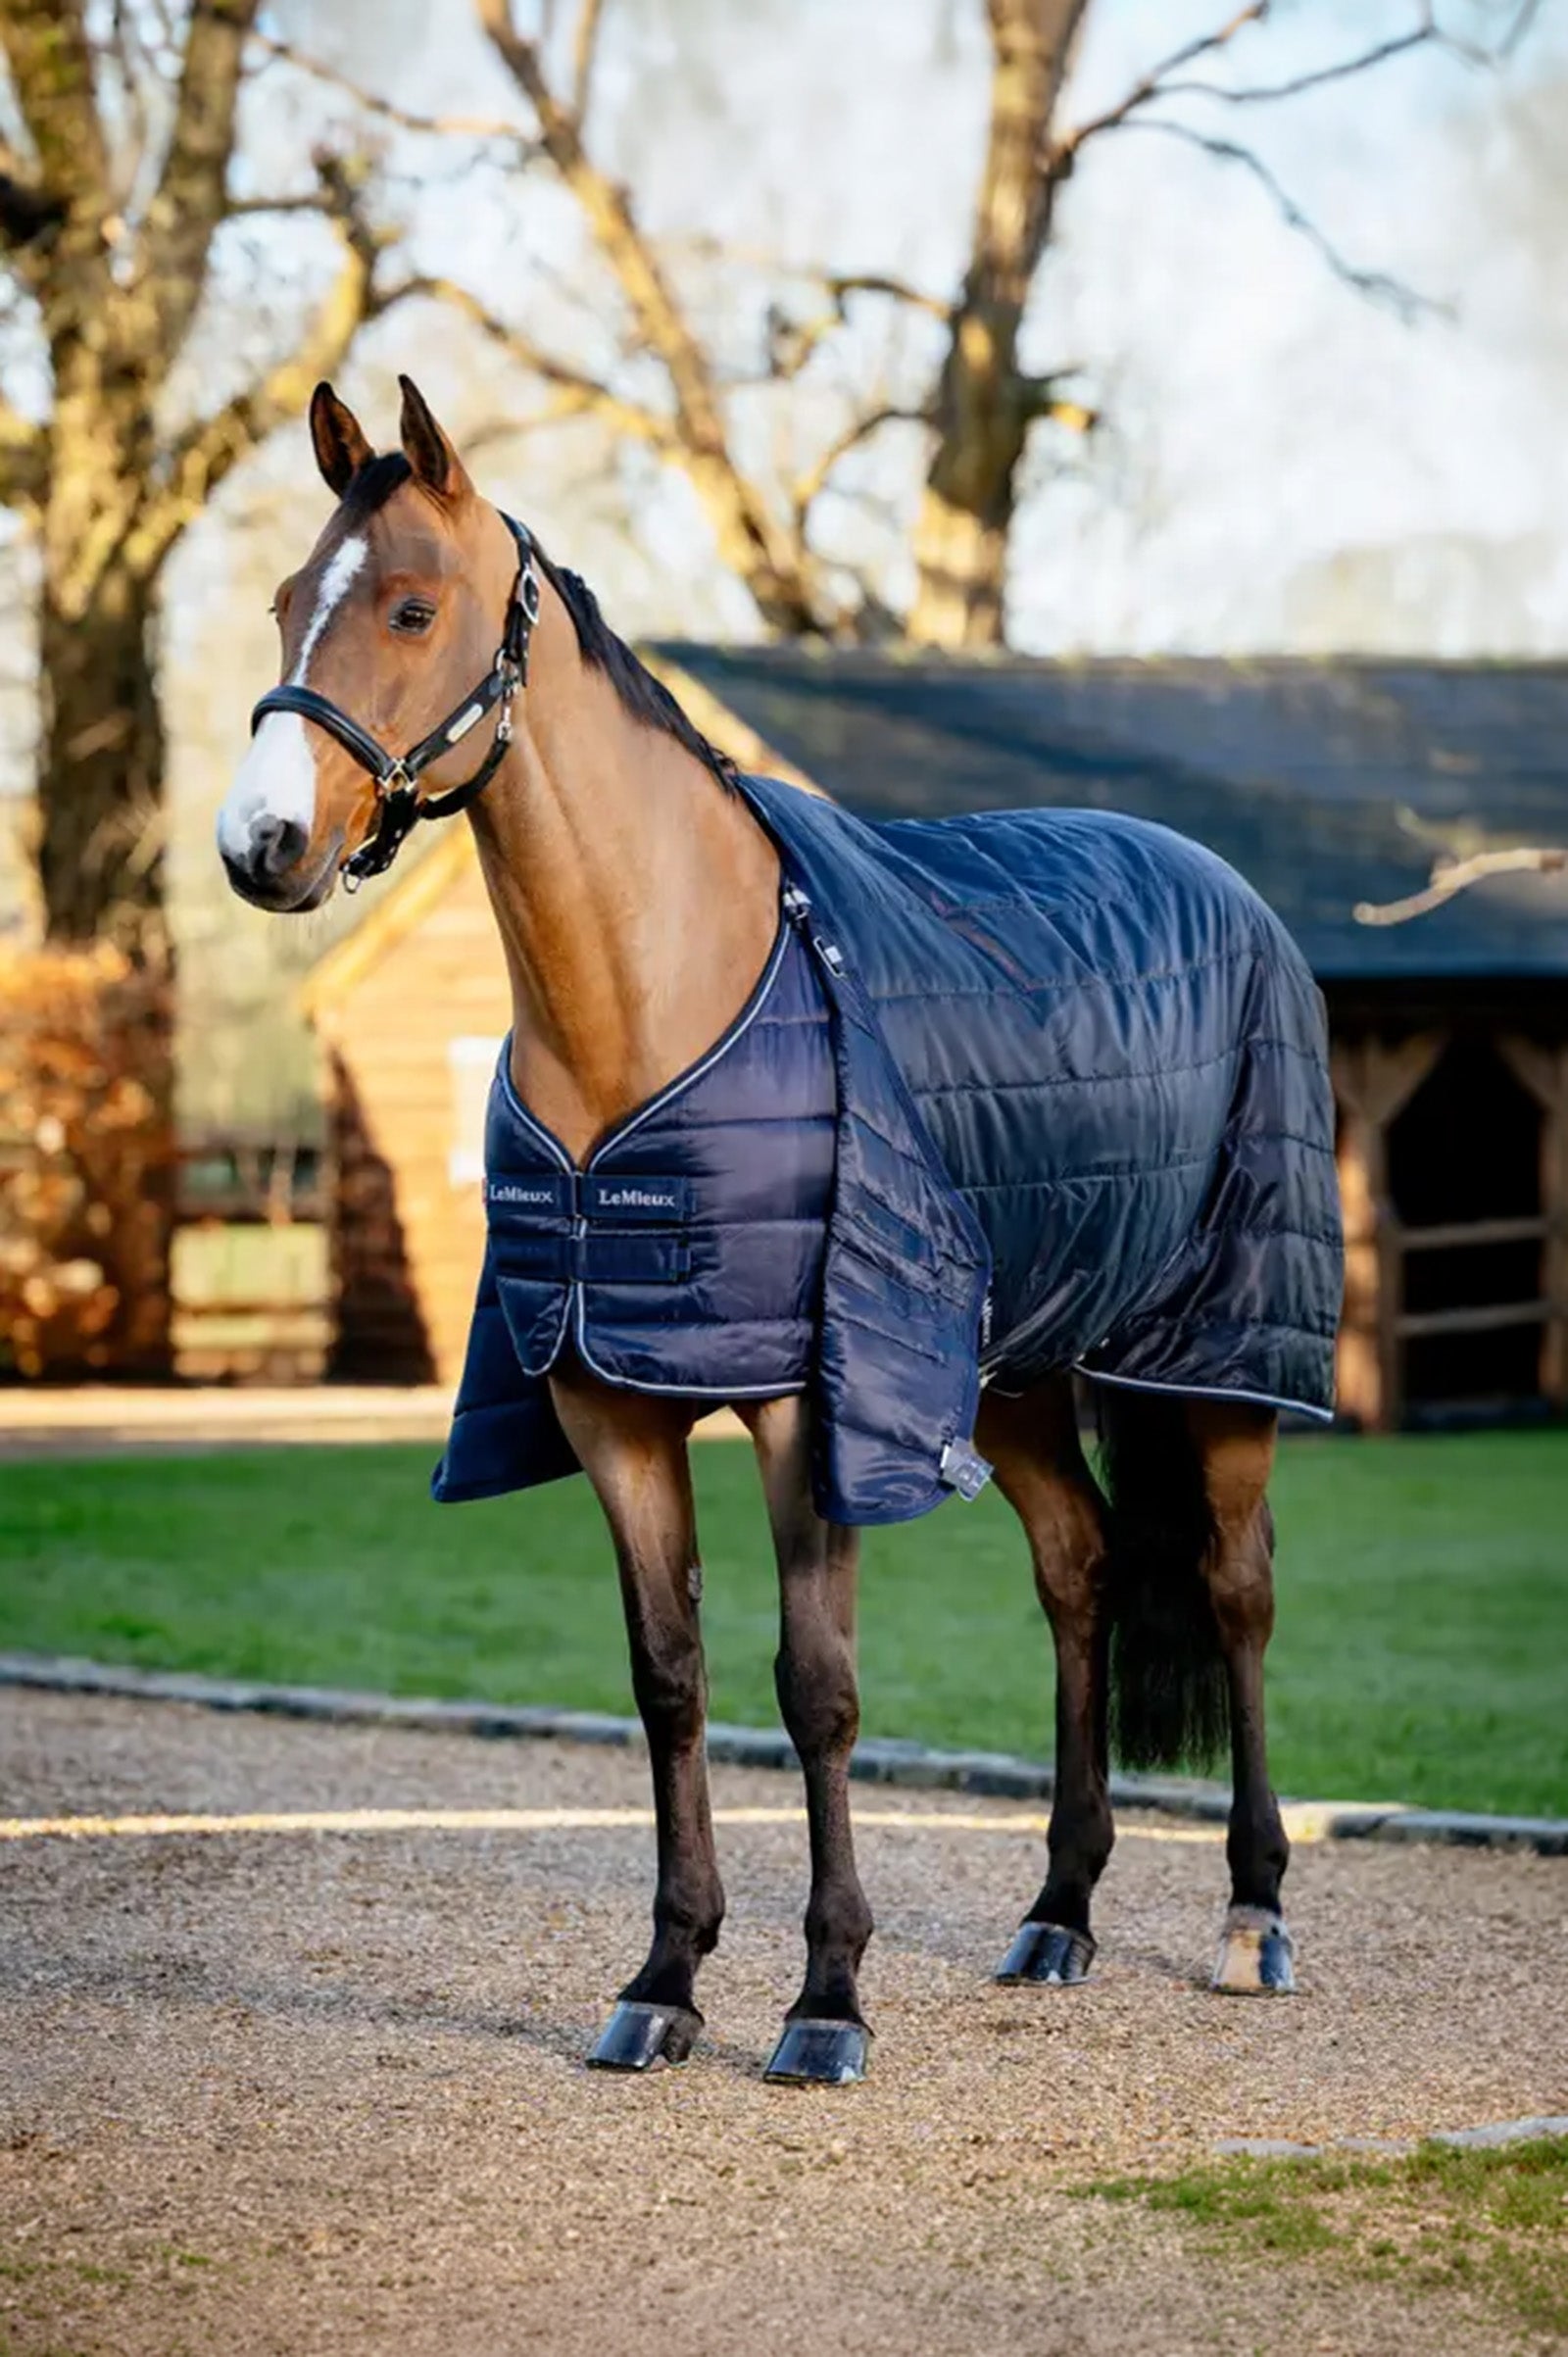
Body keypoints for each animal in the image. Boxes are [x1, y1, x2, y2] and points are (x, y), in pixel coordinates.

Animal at [218, 375, 1342, 2086]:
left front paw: (826, 2001)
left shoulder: (811, 1407)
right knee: (1080, 1572)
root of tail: (1231, 893)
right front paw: (666, 1978)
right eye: (289, 600)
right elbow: (668, 1680)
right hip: (1008, 1376)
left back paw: (1255, 1914)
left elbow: (815, 1690)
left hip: (1218, 1367)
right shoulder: (610, 1404)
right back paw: (1059, 1912)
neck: (653, 997)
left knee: (1238, 1591)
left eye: (410, 606)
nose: (259, 845)